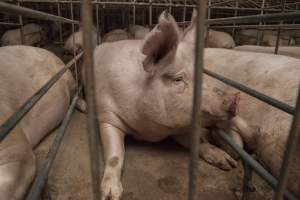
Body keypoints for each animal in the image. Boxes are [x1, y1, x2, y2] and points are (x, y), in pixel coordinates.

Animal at [92, 10, 254, 200]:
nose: (235, 98)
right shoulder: (107, 116)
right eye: (178, 79)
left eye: (202, 75)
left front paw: (228, 163)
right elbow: (115, 156)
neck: (149, 130)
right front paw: (110, 195)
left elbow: (198, 141)